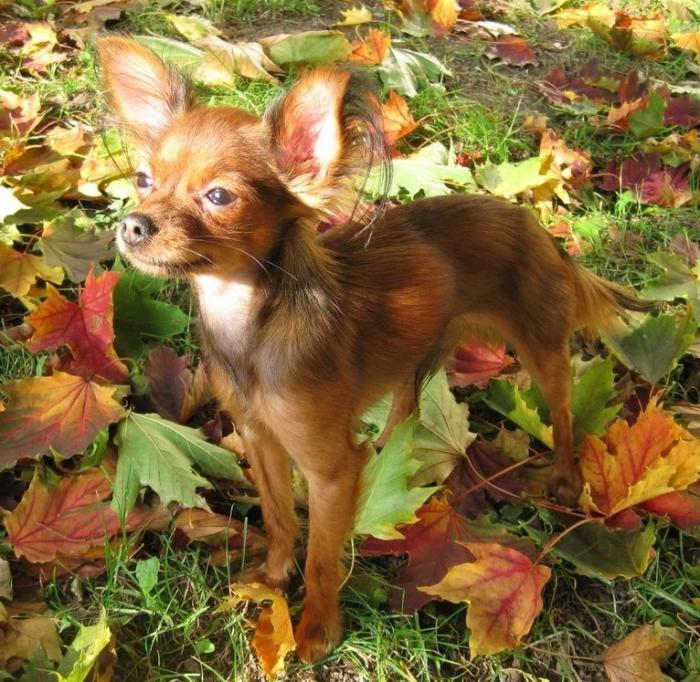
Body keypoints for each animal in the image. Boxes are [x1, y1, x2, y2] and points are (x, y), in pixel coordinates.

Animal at [97, 35, 644, 660]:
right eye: (143, 180)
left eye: (218, 196)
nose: (133, 225)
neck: (251, 325)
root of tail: (531, 222)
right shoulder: (259, 437)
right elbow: (280, 517)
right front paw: (272, 578)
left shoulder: (330, 471)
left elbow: (322, 556)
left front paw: (315, 629)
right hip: (421, 349)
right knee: (408, 401)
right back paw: (390, 451)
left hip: (540, 345)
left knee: (562, 409)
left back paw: (564, 478)